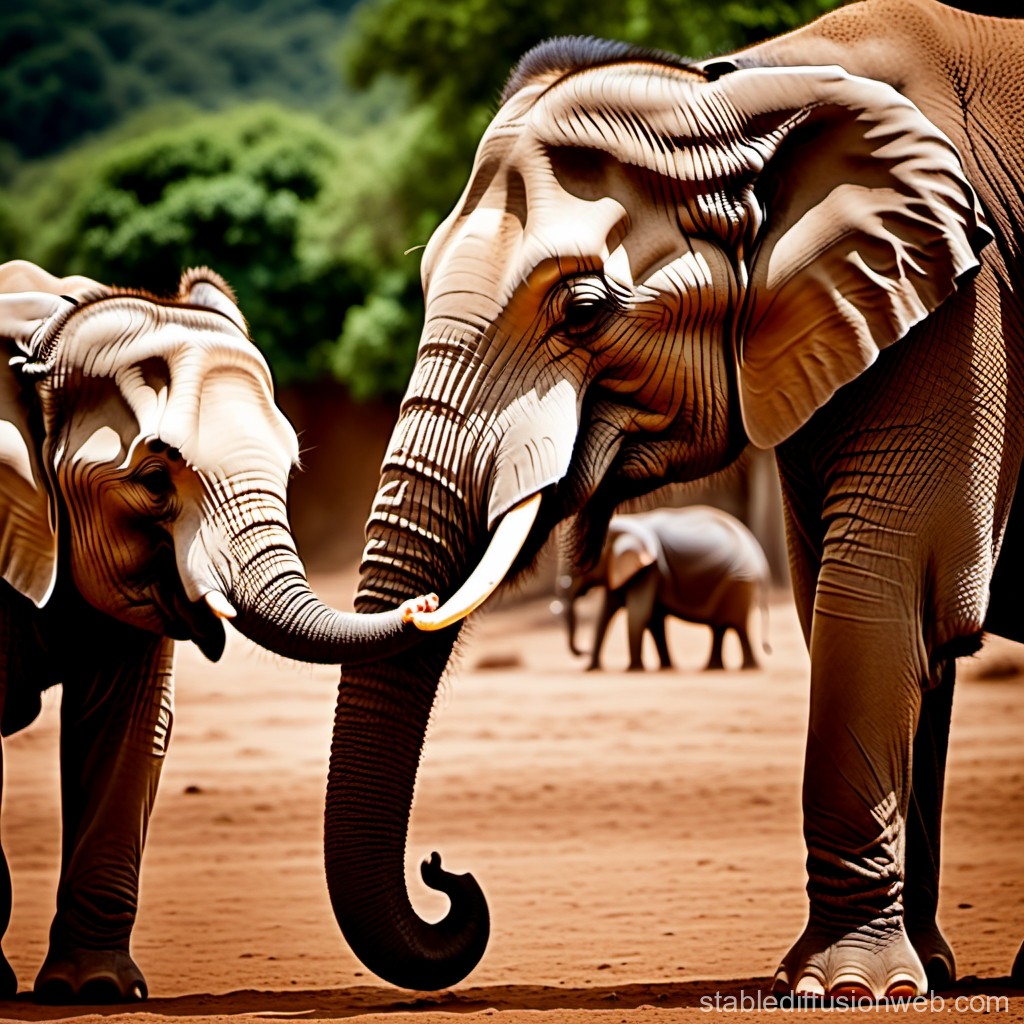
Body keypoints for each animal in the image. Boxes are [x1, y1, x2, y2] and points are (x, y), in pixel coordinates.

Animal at [0, 260, 435, 1003]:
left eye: (288, 471)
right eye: (153, 482)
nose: (426, 602)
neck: (45, 339)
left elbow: (129, 724)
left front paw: (96, 991)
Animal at [556, 506, 770, 671]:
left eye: (580, 563)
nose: (583, 652)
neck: (629, 521)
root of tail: (762, 562)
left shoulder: (650, 569)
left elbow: (639, 615)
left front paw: (634, 670)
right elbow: (623, 615)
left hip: (739, 581)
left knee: (737, 626)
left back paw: (748, 668)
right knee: (720, 627)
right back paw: (713, 668)